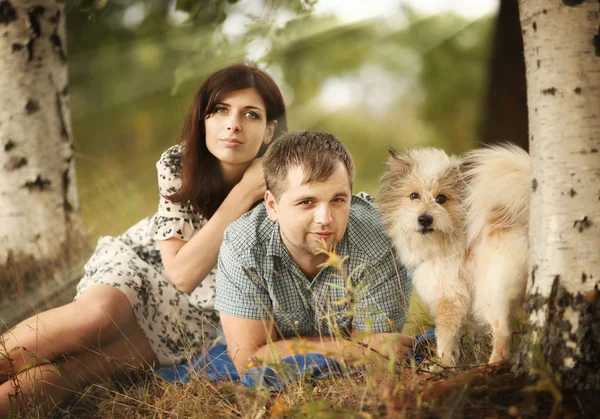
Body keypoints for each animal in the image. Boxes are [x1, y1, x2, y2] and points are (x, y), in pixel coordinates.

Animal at [380, 145, 528, 368]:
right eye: (413, 196)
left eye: (441, 198)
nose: (424, 219)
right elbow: (478, 339)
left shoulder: (449, 300)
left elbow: (445, 339)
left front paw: (442, 365)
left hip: (491, 295)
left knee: (502, 332)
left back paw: (492, 364)